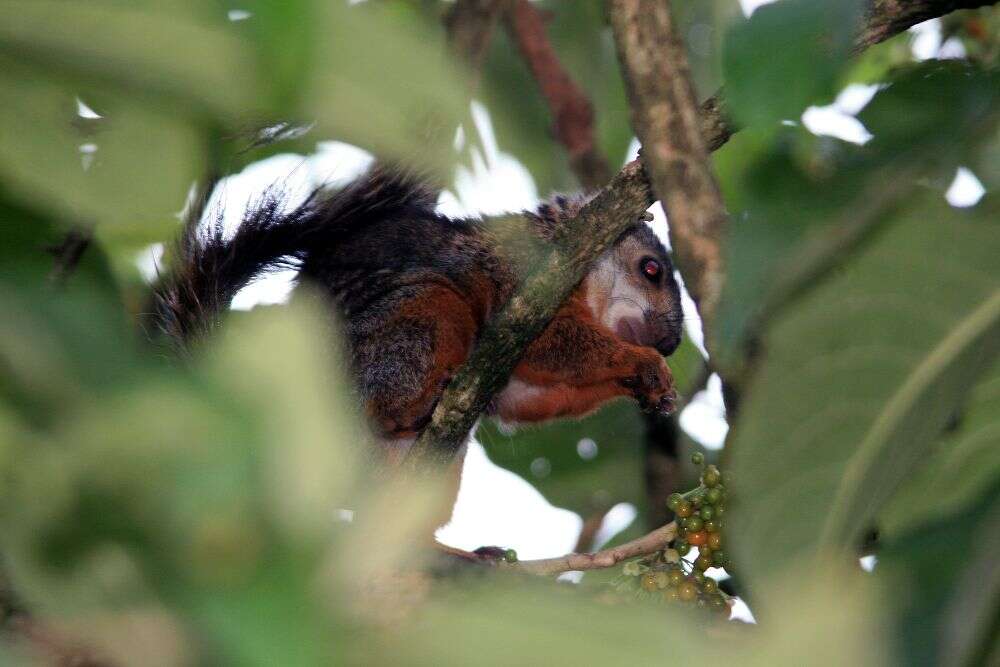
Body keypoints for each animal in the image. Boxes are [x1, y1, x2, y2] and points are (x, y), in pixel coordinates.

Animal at [152, 164, 688, 462]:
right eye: (651, 269)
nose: (670, 344)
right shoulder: (526, 279)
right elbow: (550, 343)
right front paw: (644, 365)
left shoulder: (517, 385)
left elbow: (526, 397)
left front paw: (654, 390)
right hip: (417, 315)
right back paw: (415, 405)